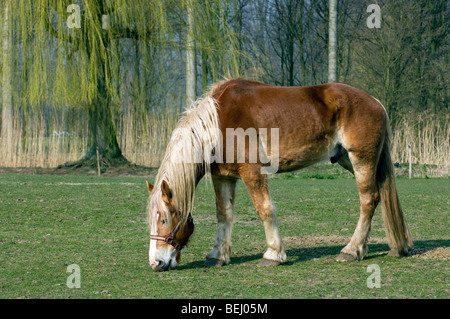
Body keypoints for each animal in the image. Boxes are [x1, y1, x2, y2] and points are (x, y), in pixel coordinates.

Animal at [146, 79, 414, 272]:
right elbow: (224, 214)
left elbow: (264, 210)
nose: (156, 263)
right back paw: (398, 245)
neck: (218, 123)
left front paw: (273, 254)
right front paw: (217, 255)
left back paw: (352, 250)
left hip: (362, 159)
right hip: (350, 159)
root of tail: (376, 103)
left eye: (164, 219)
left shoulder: (252, 172)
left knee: (368, 200)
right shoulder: (223, 177)